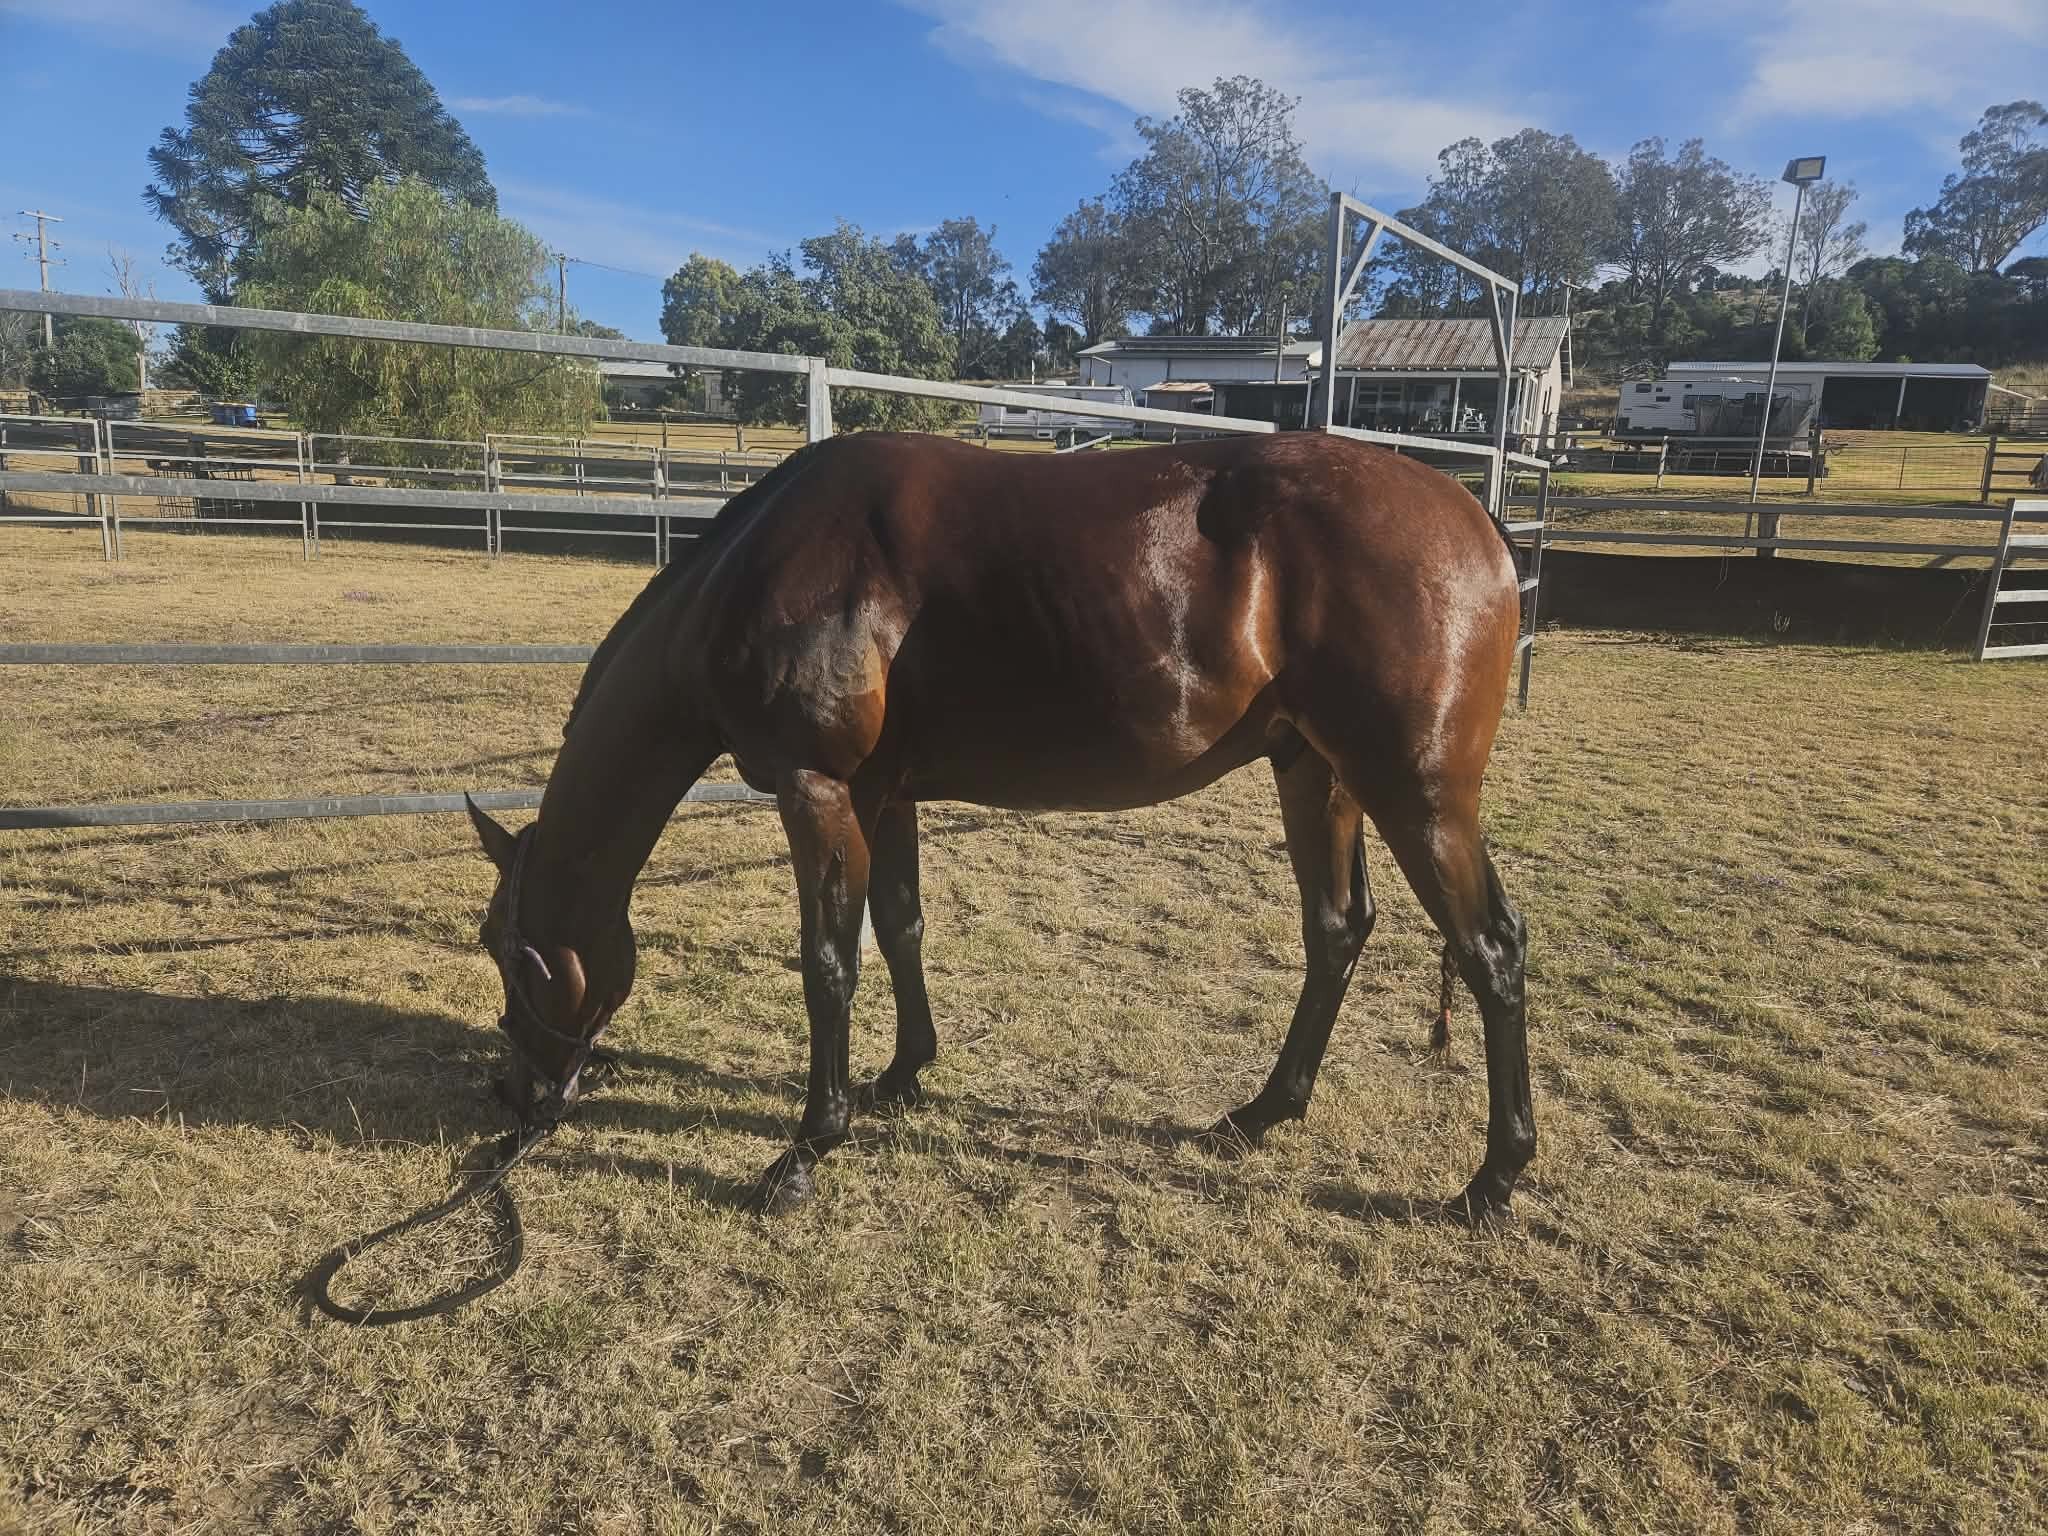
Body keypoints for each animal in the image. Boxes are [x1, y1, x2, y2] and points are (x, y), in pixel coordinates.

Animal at [464, 429, 1534, 1221]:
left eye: (509, 954)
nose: (514, 1104)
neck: (762, 569)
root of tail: (1477, 526)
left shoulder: (817, 789)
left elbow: (828, 963)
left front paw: (806, 1150)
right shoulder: (883, 793)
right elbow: (898, 928)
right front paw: (903, 1076)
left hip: (1417, 794)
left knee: (1491, 950)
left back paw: (1492, 1181)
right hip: (1317, 772)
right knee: (1337, 932)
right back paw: (1266, 1112)